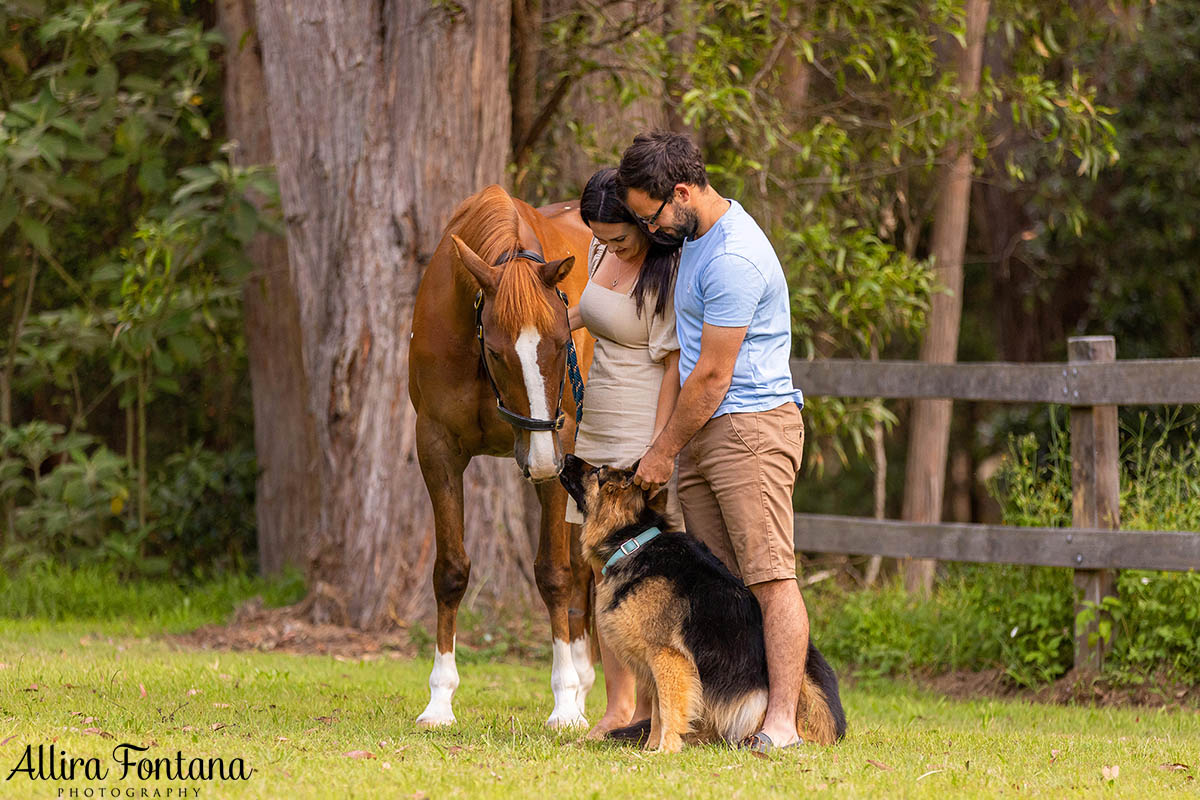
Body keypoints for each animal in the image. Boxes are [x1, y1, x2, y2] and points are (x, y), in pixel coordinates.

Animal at [412, 184, 595, 729]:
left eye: (561, 342)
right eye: (495, 351)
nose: (541, 461)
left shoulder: (559, 453)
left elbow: (555, 574)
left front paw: (564, 701)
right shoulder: (436, 448)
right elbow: (451, 571)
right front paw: (440, 699)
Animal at [559, 455, 849, 753]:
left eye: (598, 471)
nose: (567, 456)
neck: (632, 543)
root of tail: (836, 732)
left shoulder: (668, 657)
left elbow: (668, 709)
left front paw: (665, 750)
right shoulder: (657, 663)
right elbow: (657, 713)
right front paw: (650, 748)